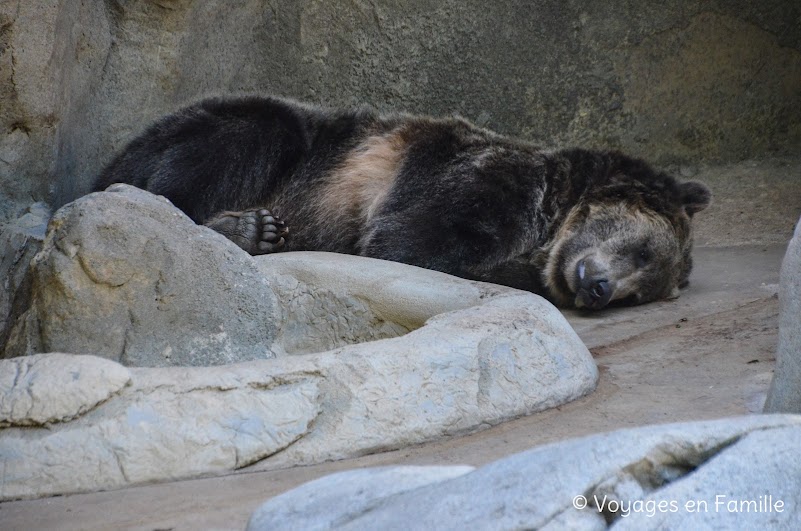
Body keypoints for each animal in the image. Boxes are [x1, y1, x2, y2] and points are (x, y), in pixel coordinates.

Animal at [95, 97, 712, 310]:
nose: (600, 287)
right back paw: (247, 229)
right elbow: (411, 239)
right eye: (640, 250)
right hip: (268, 139)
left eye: (641, 289)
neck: (552, 214)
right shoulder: (483, 179)